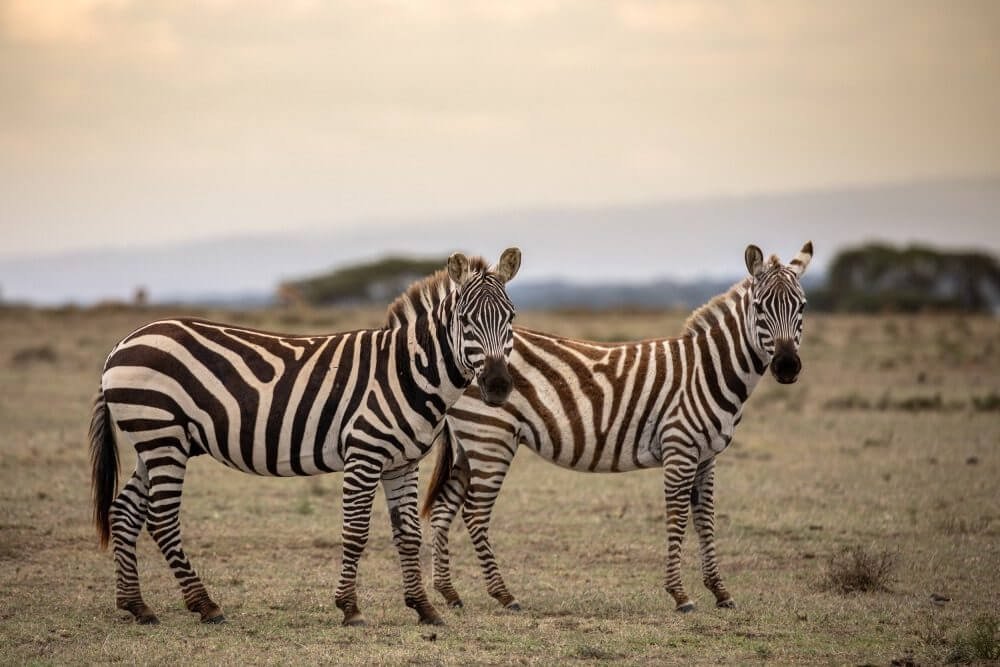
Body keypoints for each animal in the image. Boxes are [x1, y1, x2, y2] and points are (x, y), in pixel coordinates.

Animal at [90, 248, 521, 627]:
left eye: (511, 317)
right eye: (465, 319)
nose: (499, 386)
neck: (408, 369)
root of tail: (121, 344)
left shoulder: (403, 462)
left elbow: (409, 534)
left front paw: (424, 608)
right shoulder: (364, 454)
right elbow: (356, 532)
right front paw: (350, 608)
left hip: (155, 441)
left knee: (124, 512)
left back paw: (137, 606)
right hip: (161, 435)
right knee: (161, 520)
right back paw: (205, 605)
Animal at [421, 242, 812, 613]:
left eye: (803, 307)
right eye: (760, 307)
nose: (787, 366)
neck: (708, 369)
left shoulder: (707, 455)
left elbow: (705, 518)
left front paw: (720, 591)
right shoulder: (680, 447)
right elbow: (677, 515)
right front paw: (680, 594)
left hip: (470, 443)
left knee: (443, 508)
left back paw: (449, 592)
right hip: (491, 438)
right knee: (474, 513)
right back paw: (504, 595)